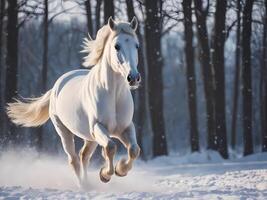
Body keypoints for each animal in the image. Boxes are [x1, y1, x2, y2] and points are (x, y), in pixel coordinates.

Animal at [6, 17, 142, 186]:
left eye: (137, 45)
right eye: (117, 46)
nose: (133, 78)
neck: (113, 95)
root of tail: (57, 86)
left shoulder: (125, 128)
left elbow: (134, 150)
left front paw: (120, 169)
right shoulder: (98, 127)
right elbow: (110, 147)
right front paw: (105, 174)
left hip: (89, 138)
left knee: (84, 155)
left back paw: (88, 183)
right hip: (64, 132)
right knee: (74, 159)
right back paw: (84, 185)